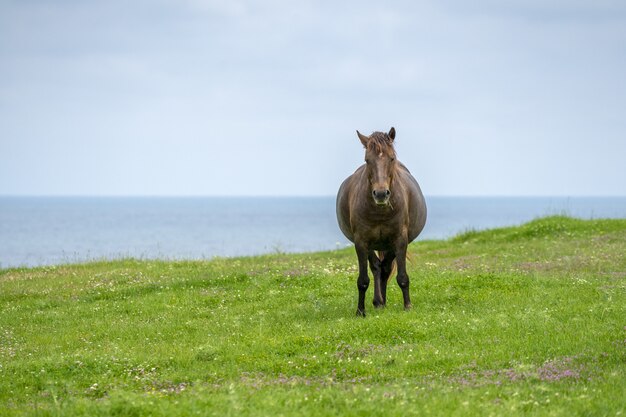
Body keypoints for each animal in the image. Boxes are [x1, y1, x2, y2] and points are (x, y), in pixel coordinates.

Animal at [334, 127, 426, 316]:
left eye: (391, 158)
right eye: (367, 160)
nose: (381, 194)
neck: (380, 212)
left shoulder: (400, 240)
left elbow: (402, 277)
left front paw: (408, 306)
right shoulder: (361, 242)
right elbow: (363, 279)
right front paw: (360, 311)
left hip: (390, 245)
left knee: (385, 267)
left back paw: (382, 301)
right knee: (377, 267)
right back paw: (379, 301)